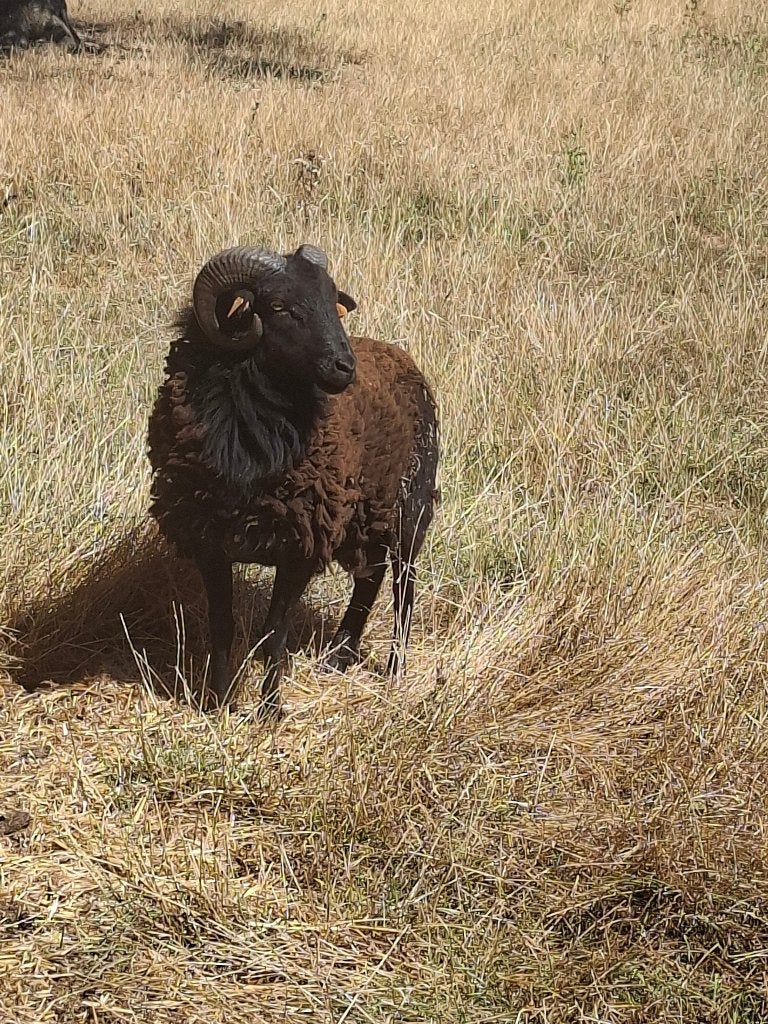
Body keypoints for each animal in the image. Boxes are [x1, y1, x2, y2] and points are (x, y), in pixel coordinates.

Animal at [147, 243, 439, 717]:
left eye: (333, 302)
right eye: (280, 307)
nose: (344, 367)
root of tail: (400, 356)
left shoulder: (301, 544)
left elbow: (273, 636)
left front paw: (269, 710)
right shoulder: (210, 541)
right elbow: (222, 629)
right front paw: (219, 704)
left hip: (409, 508)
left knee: (403, 587)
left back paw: (394, 668)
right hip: (364, 514)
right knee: (370, 577)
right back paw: (340, 654)